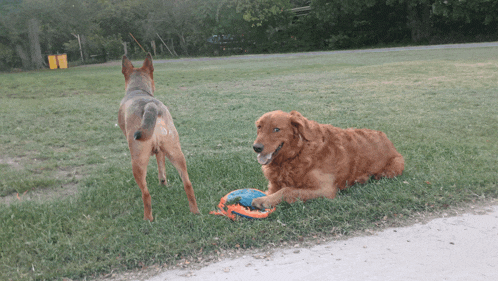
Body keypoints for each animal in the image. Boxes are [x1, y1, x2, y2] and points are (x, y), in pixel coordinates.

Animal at [118, 52, 198, 219]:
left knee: (146, 194)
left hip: (138, 161)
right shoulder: (161, 151)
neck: (138, 89)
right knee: (187, 184)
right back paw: (195, 211)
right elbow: (162, 169)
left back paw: (147, 219)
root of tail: (150, 106)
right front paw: (163, 184)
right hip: (175, 152)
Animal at [253, 109, 404, 208]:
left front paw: (264, 201)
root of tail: (387, 138)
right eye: (259, 127)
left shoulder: (325, 189)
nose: (256, 147)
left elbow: (287, 190)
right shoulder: (273, 186)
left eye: (276, 129)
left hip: (394, 166)